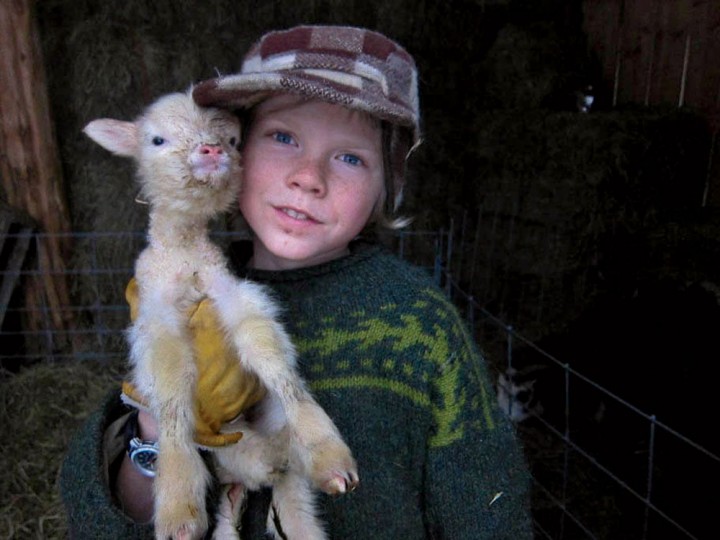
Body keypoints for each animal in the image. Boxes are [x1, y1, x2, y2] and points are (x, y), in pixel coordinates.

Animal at [84, 89, 360, 540]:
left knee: (293, 503)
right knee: (239, 497)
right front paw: (178, 505)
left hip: (277, 446)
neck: (185, 256)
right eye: (157, 140)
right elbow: (172, 383)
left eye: (232, 140)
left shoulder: (230, 292)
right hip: (230, 455)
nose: (211, 150)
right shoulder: (156, 312)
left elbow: (267, 352)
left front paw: (328, 451)